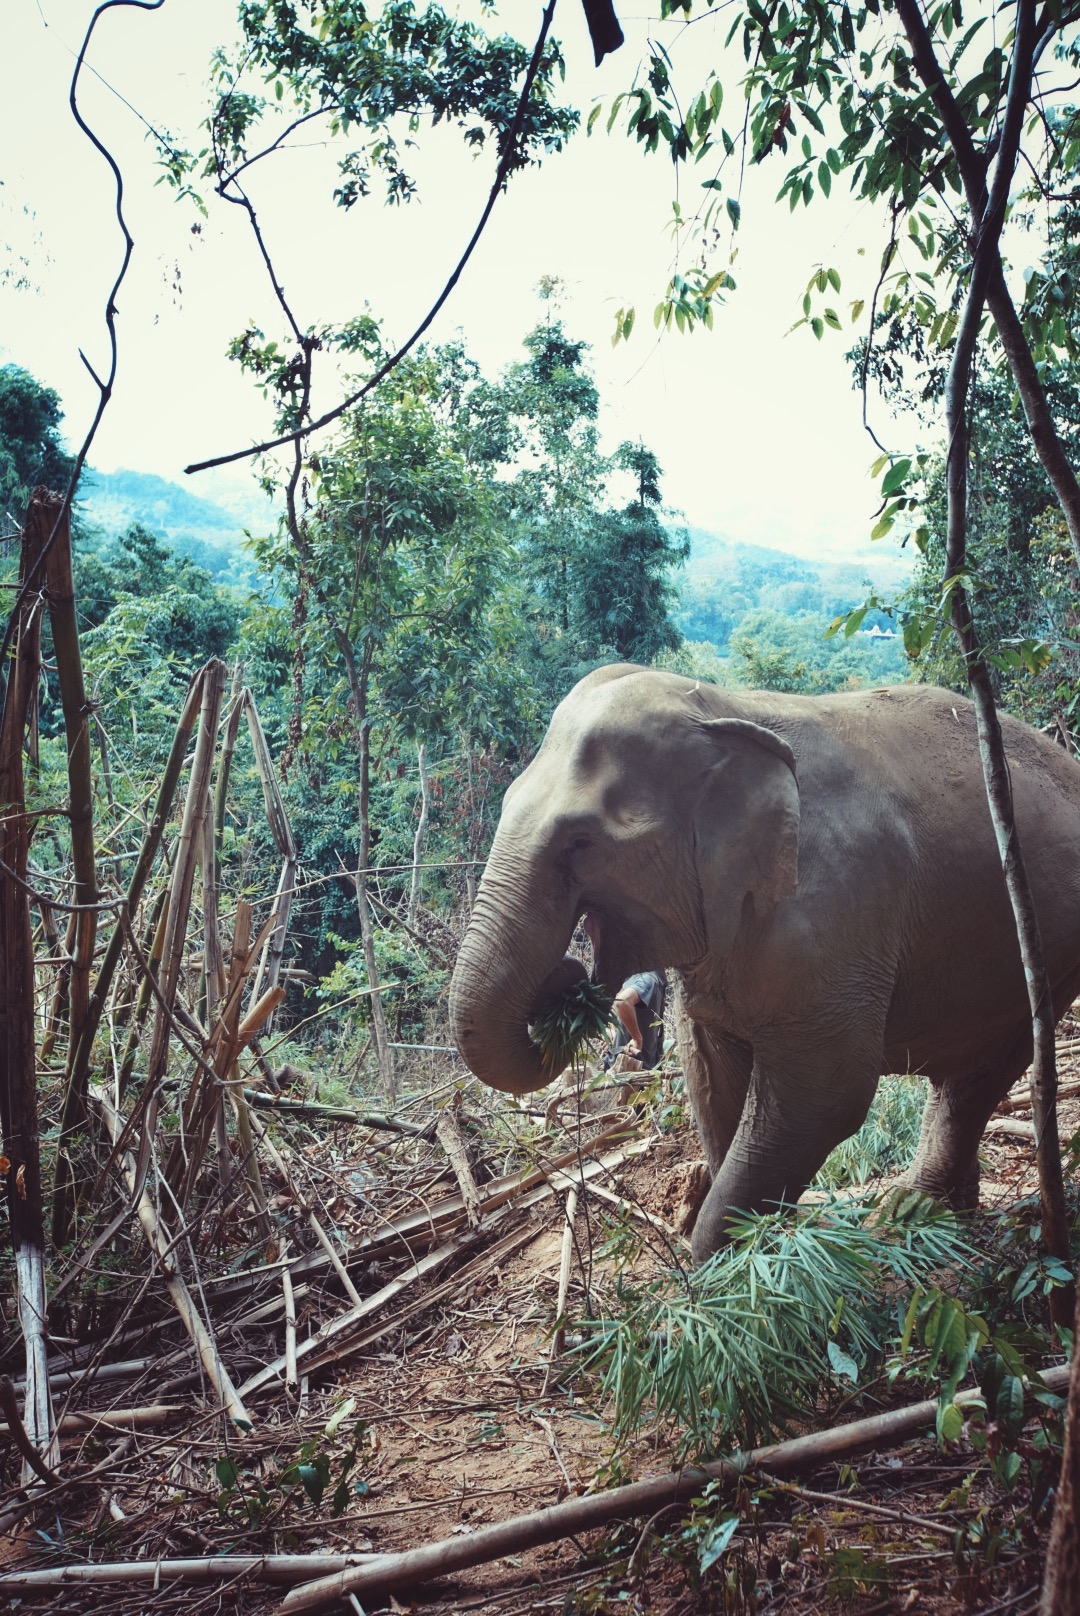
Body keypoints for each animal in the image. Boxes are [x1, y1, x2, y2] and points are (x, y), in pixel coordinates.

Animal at [449, 662, 1080, 1254]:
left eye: (580, 843)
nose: (570, 976)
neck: (723, 706)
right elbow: (710, 1075)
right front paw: (759, 1248)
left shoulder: (837, 910)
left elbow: (829, 1093)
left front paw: (727, 1273)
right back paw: (934, 1212)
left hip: (1049, 959)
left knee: (984, 1072)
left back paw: (913, 1213)